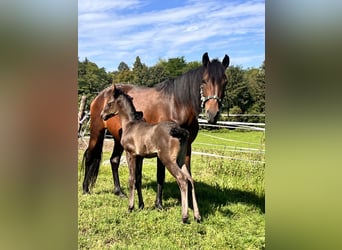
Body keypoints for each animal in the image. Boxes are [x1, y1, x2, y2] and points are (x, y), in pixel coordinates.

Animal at [81, 52, 228, 209]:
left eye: (225, 82)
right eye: (204, 81)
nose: (213, 114)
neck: (176, 105)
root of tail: (100, 95)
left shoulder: (187, 147)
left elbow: (188, 174)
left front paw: (189, 204)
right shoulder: (161, 150)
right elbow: (160, 176)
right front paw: (159, 204)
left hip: (117, 138)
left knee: (114, 160)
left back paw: (119, 192)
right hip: (96, 132)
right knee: (89, 156)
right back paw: (85, 189)